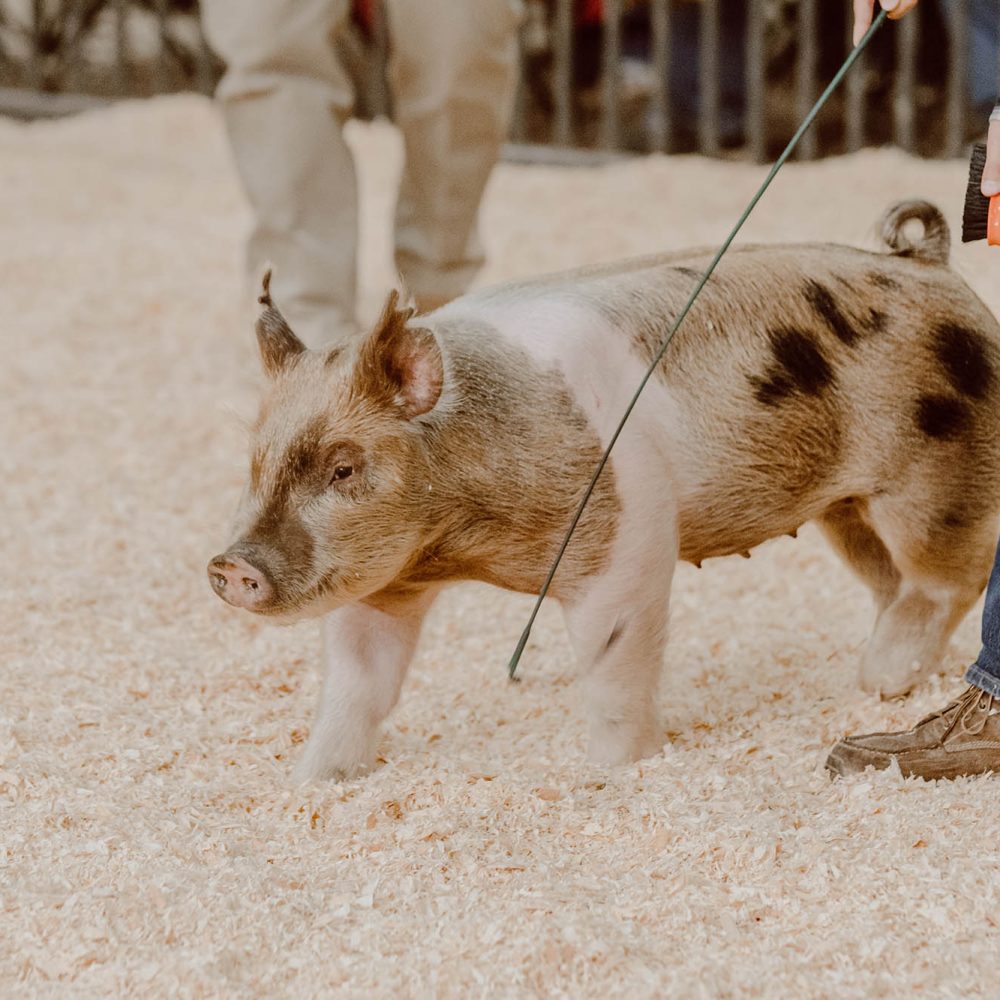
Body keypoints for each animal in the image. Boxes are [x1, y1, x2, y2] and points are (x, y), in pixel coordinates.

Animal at [207, 203, 1000, 780]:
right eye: (253, 462)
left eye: (343, 468)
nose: (228, 565)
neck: (463, 544)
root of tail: (929, 265)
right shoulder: (383, 579)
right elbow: (357, 682)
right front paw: (311, 781)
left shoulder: (626, 539)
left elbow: (614, 663)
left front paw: (615, 772)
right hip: (846, 509)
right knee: (892, 582)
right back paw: (880, 682)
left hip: (935, 478)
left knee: (949, 577)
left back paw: (882, 680)